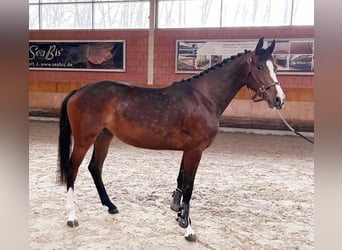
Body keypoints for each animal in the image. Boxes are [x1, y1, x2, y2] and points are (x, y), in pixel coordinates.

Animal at [56, 37, 286, 240]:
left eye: (275, 66)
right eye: (259, 67)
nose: (279, 99)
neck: (204, 98)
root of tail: (79, 91)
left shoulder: (188, 150)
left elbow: (181, 180)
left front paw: (178, 213)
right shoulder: (195, 151)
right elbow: (189, 187)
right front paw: (188, 228)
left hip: (104, 136)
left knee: (95, 168)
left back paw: (110, 206)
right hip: (84, 139)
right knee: (72, 169)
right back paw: (72, 216)